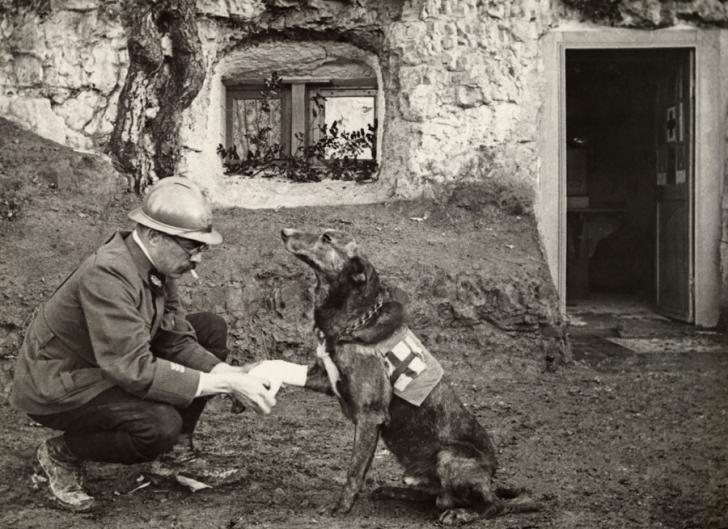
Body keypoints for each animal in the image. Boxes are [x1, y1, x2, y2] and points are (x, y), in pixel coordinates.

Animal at [282, 228, 536, 524]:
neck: (351, 320)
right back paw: (394, 491)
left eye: (327, 239)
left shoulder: (370, 415)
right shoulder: (326, 379)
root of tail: (491, 478)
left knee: (491, 506)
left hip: (449, 457)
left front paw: (341, 508)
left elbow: (354, 470)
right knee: (434, 496)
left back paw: (461, 513)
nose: (284, 231)